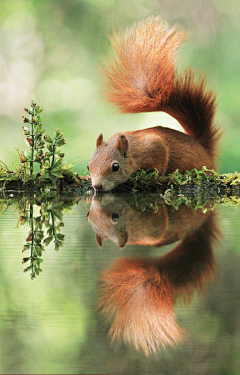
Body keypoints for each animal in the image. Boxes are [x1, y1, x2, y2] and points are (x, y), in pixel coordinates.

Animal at [87, 15, 220, 191]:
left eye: (115, 167)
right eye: (89, 165)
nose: (97, 186)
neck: (132, 151)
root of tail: (204, 150)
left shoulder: (155, 146)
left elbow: (160, 163)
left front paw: (154, 176)